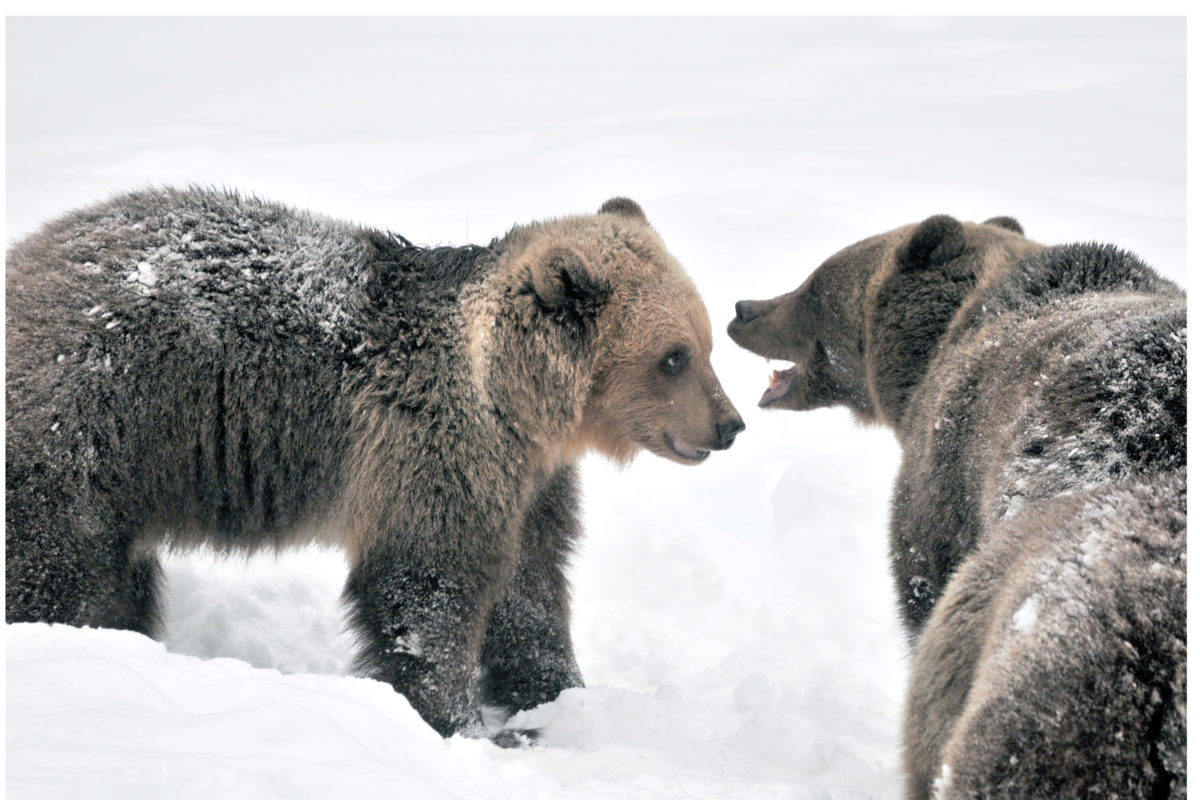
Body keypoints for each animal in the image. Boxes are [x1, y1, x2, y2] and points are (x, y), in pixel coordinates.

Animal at [4, 188, 744, 743]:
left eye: (706, 343)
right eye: (673, 357)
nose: (730, 424)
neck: (516, 401)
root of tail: (25, 258)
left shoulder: (528, 482)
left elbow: (530, 584)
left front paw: (555, 696)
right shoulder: (432, 448)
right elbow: (429, 589)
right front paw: (457, 720)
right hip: (87, 429)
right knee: (62, 569)